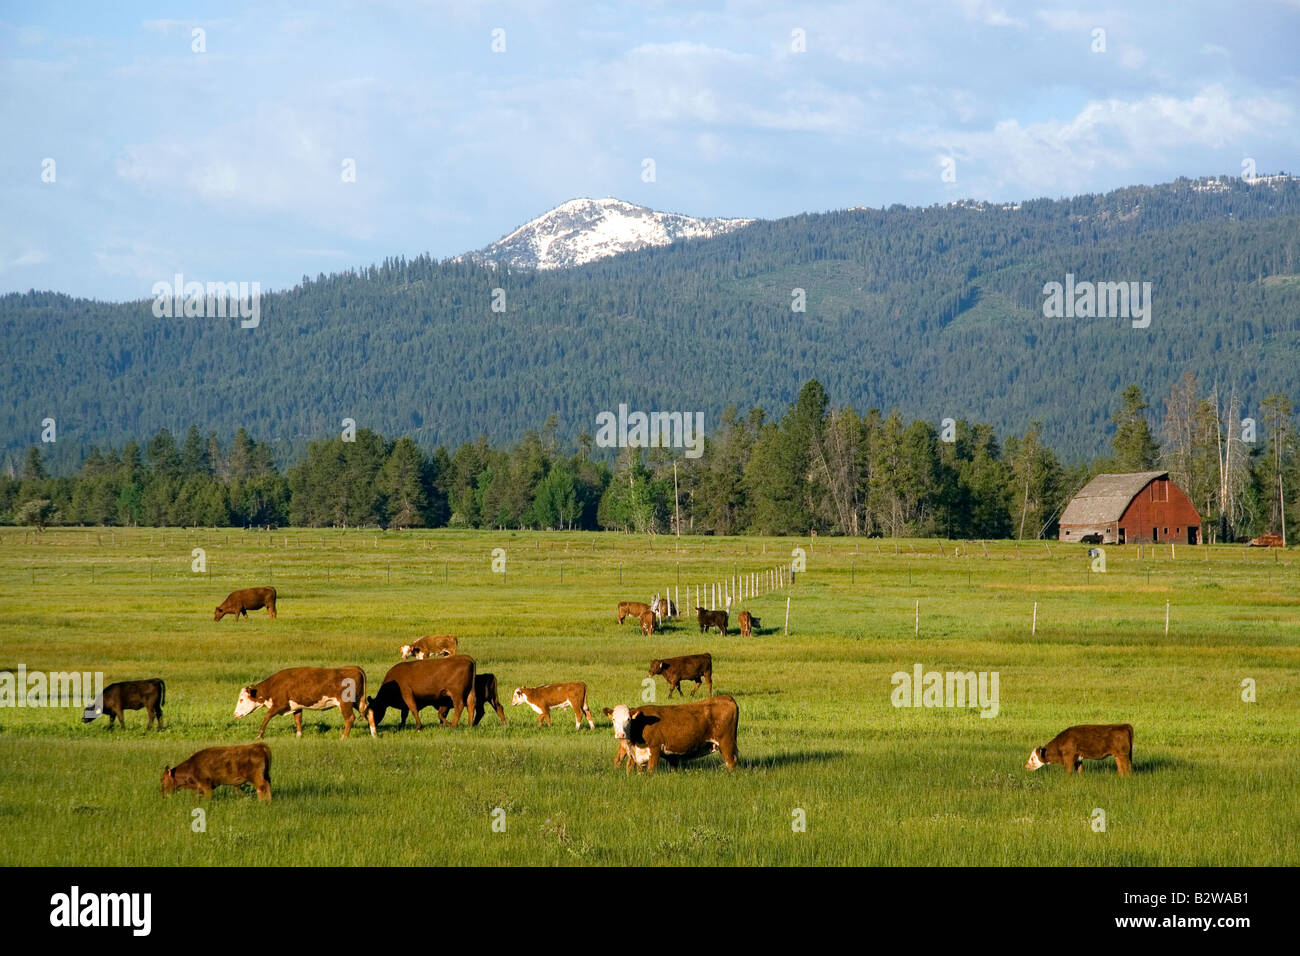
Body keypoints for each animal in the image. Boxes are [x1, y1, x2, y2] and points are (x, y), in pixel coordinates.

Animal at [231, 665, 374, 738]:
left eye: (241, 699)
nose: (235, 714)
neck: (274, 685)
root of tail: (353, 668)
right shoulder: (295, 706)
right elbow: (298, 720)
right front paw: (299, 736)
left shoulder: (280, 704)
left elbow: (267, 716)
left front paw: (259, 735)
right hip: (357, 701)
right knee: (369, 713)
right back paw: (374, 735)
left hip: (345, 703)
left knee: (349, 718)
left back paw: (343, 737)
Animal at [600, 697, 738, 775]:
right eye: (613, 719)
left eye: (628, 719)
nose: (620, 734)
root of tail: (726, 698)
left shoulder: (655, 748)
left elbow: (651, 770)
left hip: (726, 743)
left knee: (730, 763)